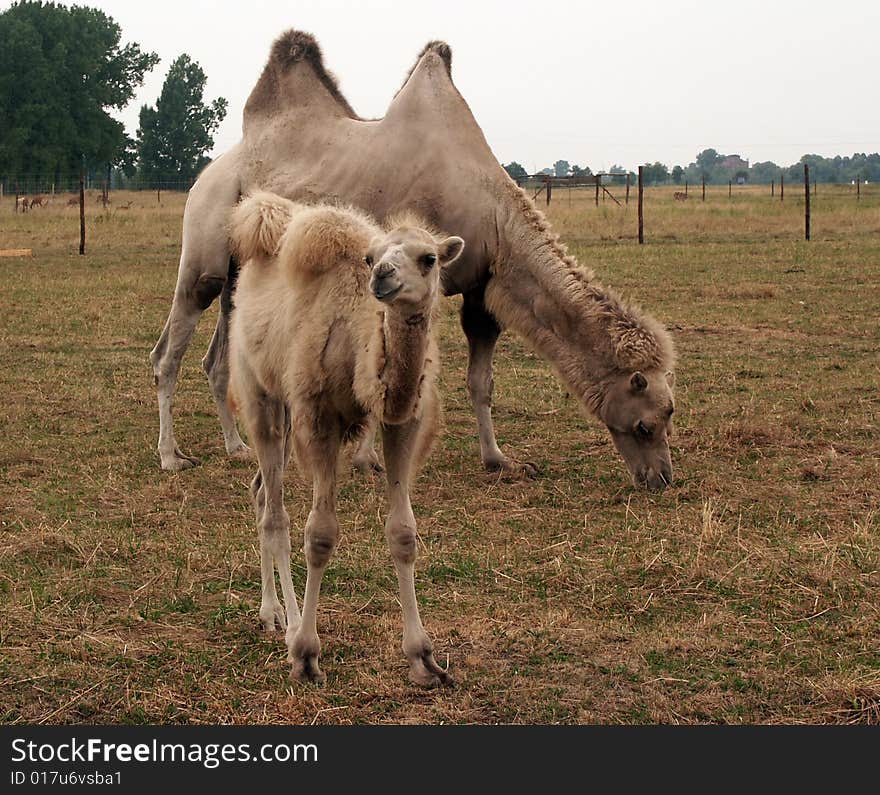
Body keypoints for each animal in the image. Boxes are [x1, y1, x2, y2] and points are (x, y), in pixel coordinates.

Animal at [227, 191, 464, 684]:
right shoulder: (319, 419)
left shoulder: (402, 423)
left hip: (283, 414)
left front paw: (423, 658)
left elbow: (403, 533)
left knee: (260, 491)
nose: (383, 275)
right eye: (371, 257)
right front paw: (305, 654)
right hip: (260, 397)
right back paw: (286, 622)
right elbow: (319, 535)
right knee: (275, 515)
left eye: (429, 258)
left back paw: (272, 613)